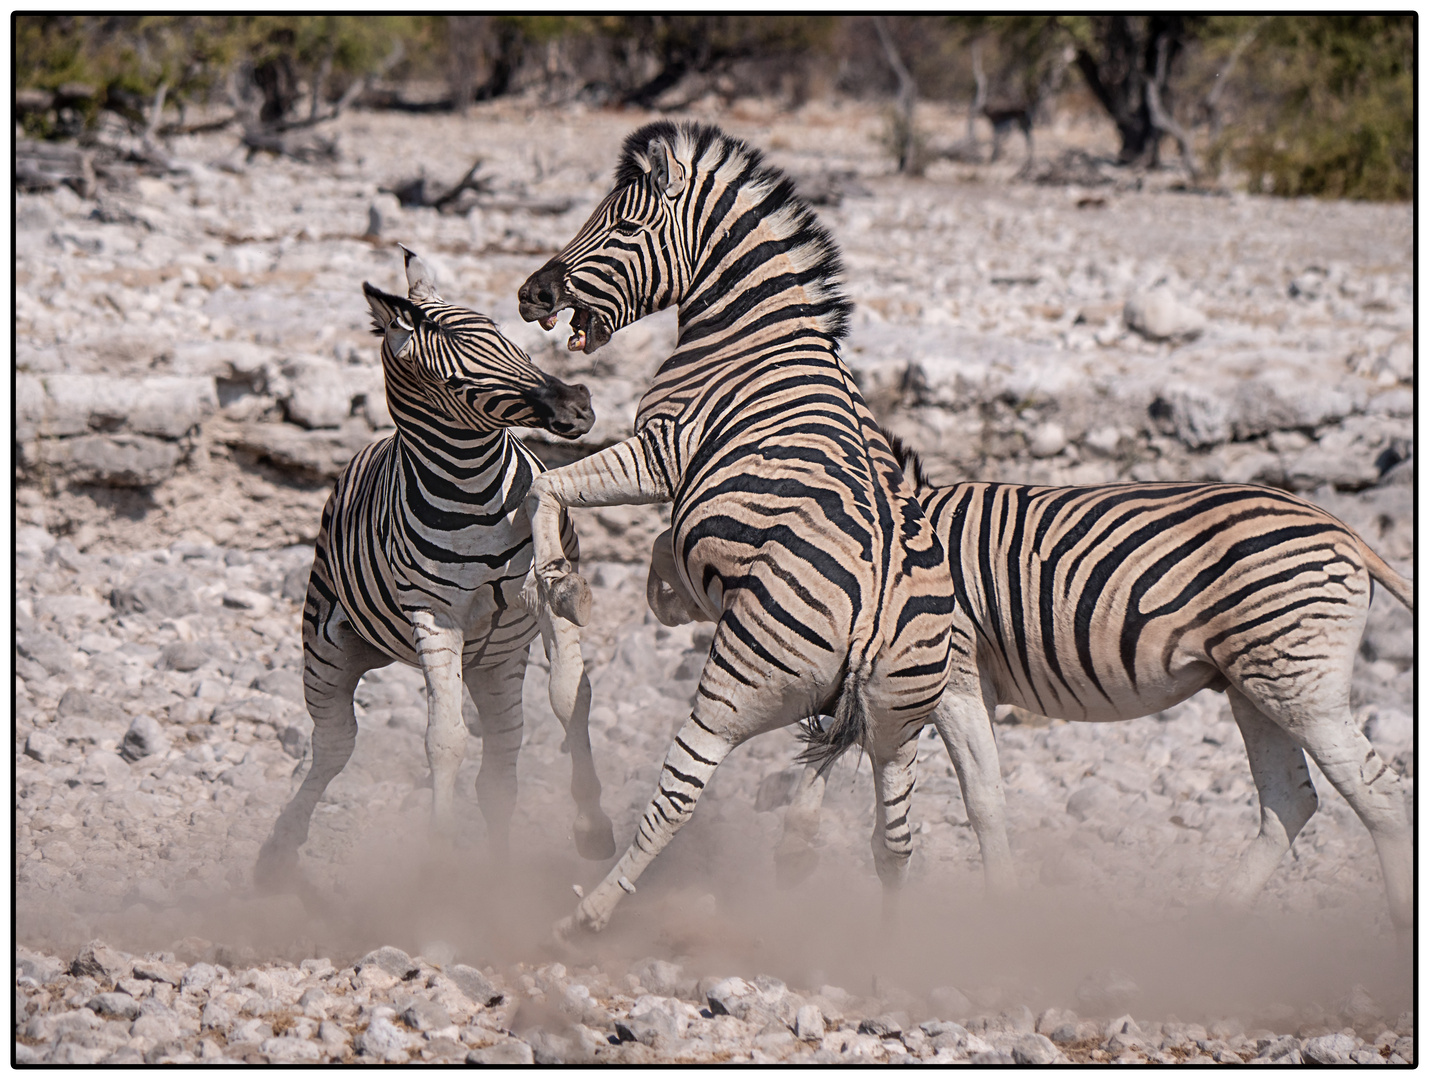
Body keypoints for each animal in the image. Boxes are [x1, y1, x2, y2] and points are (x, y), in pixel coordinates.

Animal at [257, 248, 614, 891]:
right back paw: (278, 852)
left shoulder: (542, 593)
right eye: (453, 383)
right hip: (327, 651)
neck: (477, 493)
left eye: (506, 336)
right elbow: (443, 738)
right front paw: (441, 862)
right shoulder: (434, 615)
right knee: (332, 747)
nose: (578, 406)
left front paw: (592, 824)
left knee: (500, 766)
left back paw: (500, 875)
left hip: (495, 664)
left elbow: (569, 693)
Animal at [514, 122, 960, 942]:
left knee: (680, 791)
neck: (754, 332)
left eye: (621, 228)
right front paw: (655, 591)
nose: (532, 295)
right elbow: (659, 548)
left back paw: (589, 913)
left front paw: (561, 586)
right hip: (900, 723)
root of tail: (879, 614)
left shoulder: (661, 451)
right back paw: (884, 946)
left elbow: (545, 487)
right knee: (895, 839)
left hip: (737, 688)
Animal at [760, 440, 1417, 925]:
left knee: (1379, 795)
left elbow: (981, 797)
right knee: (1291, 799)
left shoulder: (953, 673)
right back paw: (1216, 924)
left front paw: (1000, 907)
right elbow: (829, 749)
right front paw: (794, 850)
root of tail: (1341, 527)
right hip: (1254, 685)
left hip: (1298, 682)